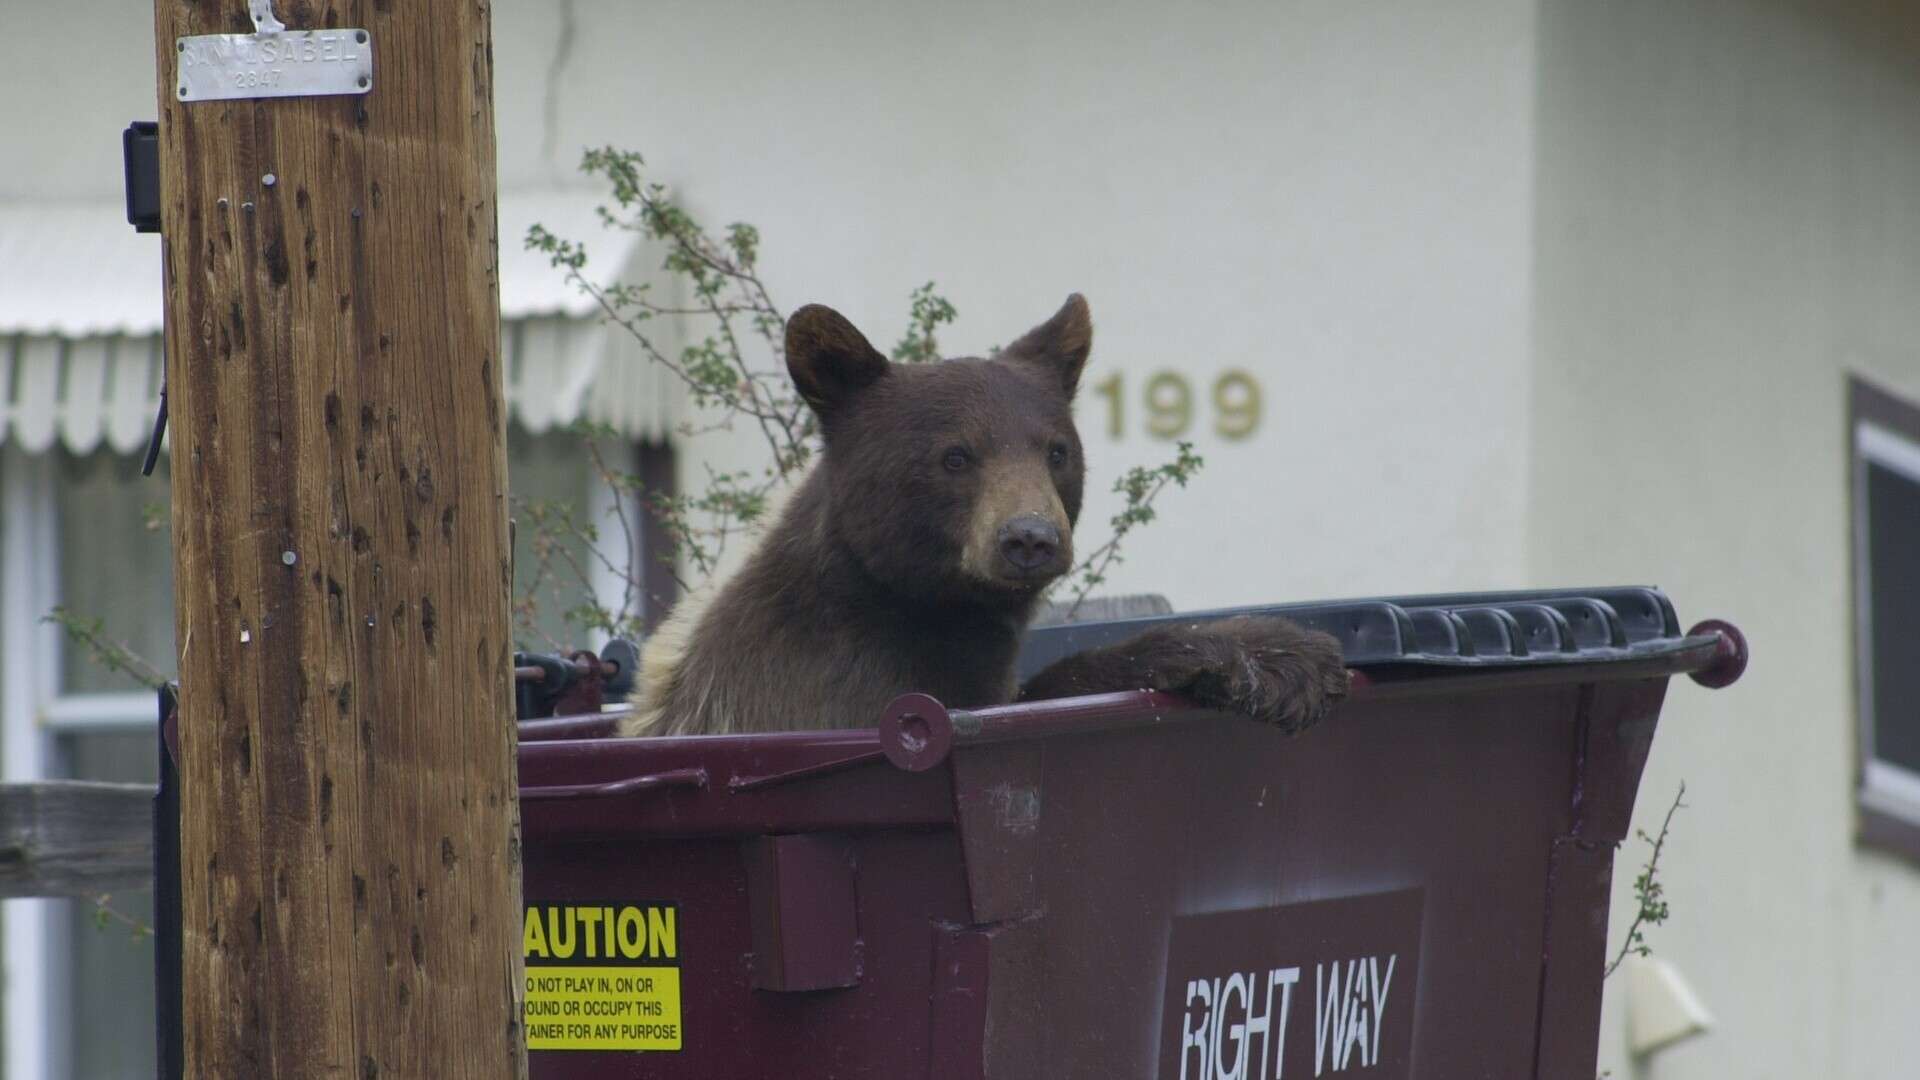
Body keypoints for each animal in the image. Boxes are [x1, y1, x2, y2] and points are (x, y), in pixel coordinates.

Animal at [621, 294, 1349, 738]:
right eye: (954, 455)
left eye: (1056, 450)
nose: (1029, 538)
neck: (914, 604)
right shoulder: (827, 688)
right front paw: (1251, 655)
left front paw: (1282, 655)